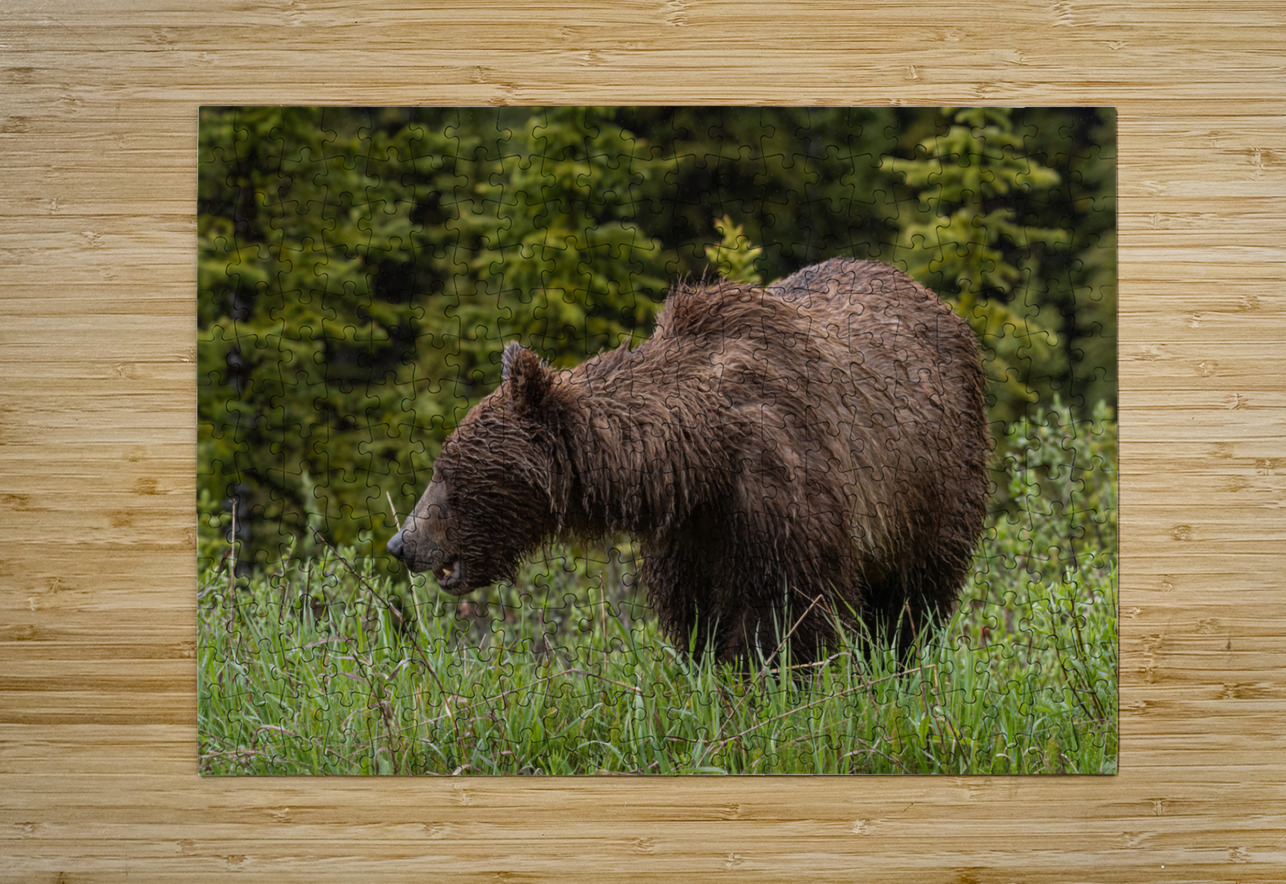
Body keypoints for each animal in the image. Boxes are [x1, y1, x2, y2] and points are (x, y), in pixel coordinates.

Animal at [387, 258, 991, 664]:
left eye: (447, 475)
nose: (401, 543)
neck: (699, 456)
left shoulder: (783, 494)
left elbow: (783, 616)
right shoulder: (690, 530)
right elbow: (696, 617)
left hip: (930, 486)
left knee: (912, 598)